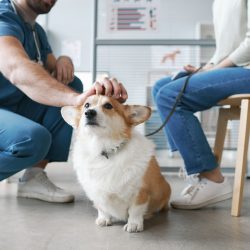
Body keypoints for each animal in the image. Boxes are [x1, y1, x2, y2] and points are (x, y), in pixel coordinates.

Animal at [61, 95, 171, 232]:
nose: (89, 112)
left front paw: (133, 224)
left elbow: (135, 210)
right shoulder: (96, 192)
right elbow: (102, 207)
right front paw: (104, 219)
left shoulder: (140, 192)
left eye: (108, 106)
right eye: (86, 105)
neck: (103, 148)